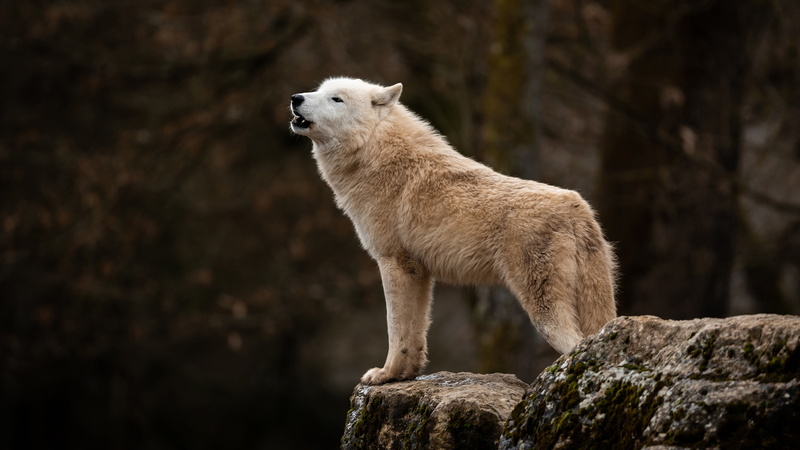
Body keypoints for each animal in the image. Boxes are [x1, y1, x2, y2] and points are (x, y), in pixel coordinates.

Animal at [290, 77, 616, 385]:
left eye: (336, 99)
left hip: (543, 312)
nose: (295, 97)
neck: (375, 153)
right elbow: (415, 334)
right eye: (318, 90)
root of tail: (577, 207)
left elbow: (395, 329)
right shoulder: (419, 272)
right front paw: (405, 376)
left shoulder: (392, 263)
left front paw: (385, 374)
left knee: (575, 344)